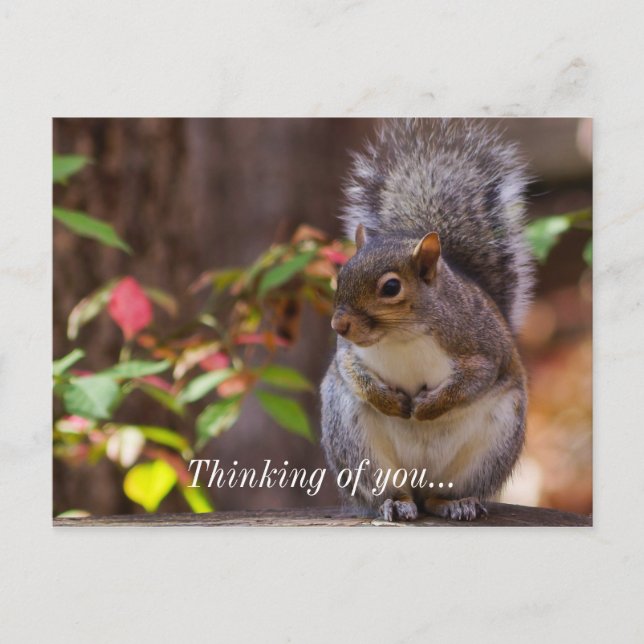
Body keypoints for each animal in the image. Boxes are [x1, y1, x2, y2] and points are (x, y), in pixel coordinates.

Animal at [320, 119, 534, 521]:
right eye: (341, 275)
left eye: (391, 287)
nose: (339, 326)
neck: (401, 336)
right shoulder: (348, 353)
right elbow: (350, 371)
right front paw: (390, 402)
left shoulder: (482, 346)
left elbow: (474, 379)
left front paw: (427, 407)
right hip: (357, 444)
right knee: (393, 489)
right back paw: (395, 503)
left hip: (492, 446)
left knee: (439, 495)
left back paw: (455, 503)